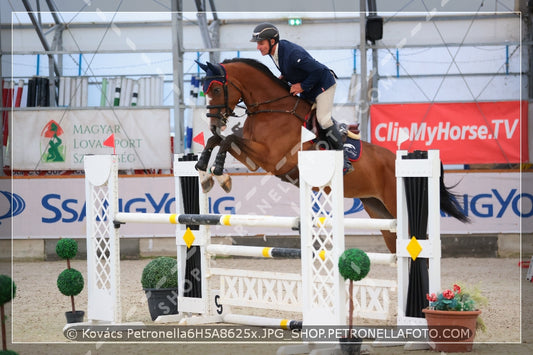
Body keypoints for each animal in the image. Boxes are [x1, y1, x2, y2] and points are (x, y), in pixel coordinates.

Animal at [193, 57, 468, 253]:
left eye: (215, 89)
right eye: (204, 89)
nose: (213, 123)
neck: (271, 109)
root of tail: (400, 160)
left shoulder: (272, 158)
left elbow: (228, 139)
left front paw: (220, 175)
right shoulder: (253, 159)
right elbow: (219, 140)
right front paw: (205, 172)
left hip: (394, 203)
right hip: (378, 209)